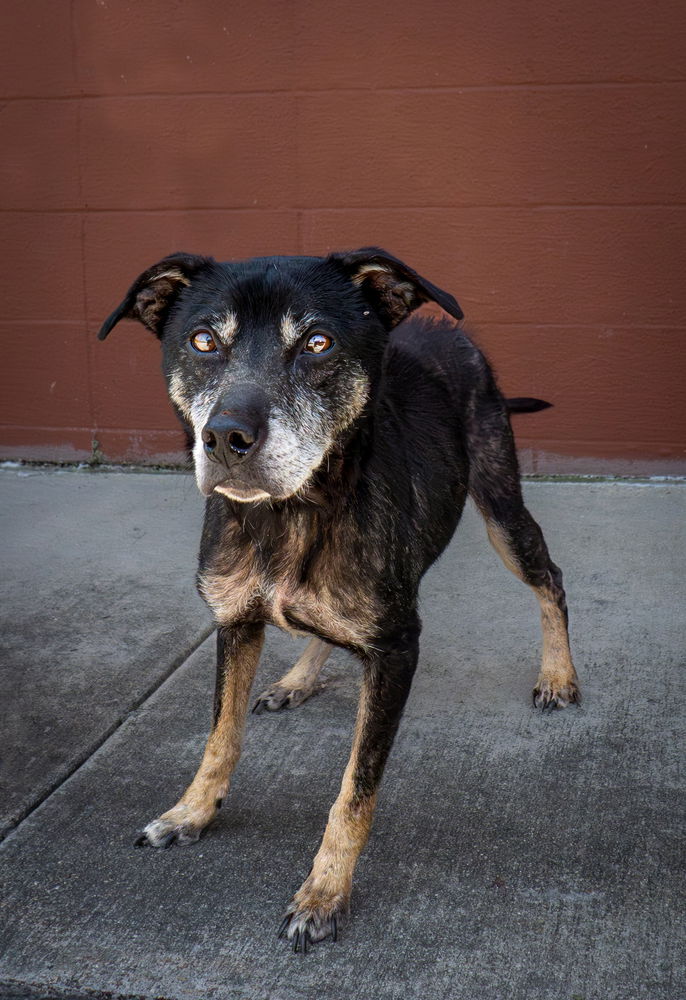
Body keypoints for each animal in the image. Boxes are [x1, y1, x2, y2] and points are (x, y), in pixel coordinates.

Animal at [98, 246, 580, 948]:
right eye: (203, 340)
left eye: (318, 343)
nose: (226, 438)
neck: (289, 516)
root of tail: (446, 331)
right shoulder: (234, 621)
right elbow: (220, 735)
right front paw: (192, 811)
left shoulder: (397, 649)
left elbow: (356, 788)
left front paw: (324, 891)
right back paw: (299, 678)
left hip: (501, 508)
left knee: (550, 579)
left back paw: (559, 675)